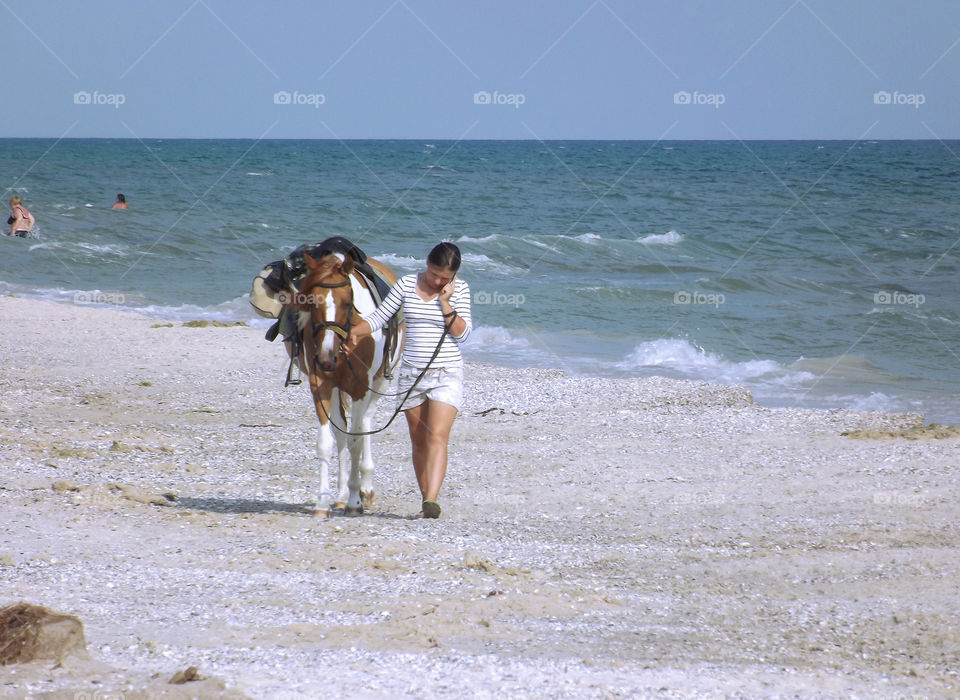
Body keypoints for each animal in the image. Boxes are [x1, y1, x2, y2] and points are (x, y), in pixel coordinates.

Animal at [288, 250, 402, 516]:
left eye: (348, 303)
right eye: (312, 302)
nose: (326, 357)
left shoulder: (361, 388)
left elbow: (356, 440)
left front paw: (355, 500)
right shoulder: (320, 386)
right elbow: (326, 442)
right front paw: (323, 503)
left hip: (378, 385)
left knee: (365, 425)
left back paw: (364, 489)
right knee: (341, 432)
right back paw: (340, 494)